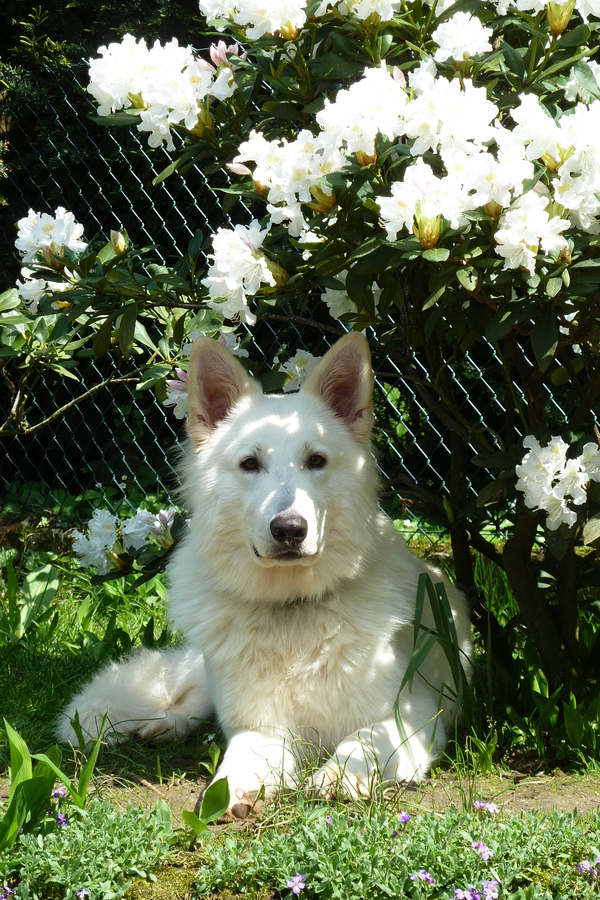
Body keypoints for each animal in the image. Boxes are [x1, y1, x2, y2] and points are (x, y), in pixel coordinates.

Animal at [61, 330, 474, 816]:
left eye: (316, 461)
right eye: (250, 464)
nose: (290, 529)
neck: (292, 611)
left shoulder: (411, 716)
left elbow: (362, 742)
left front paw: (338, 776)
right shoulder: (261, 728)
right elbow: (240, 753)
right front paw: (231, 787)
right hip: (208, 677)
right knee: (193, 703)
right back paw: (165, 725)